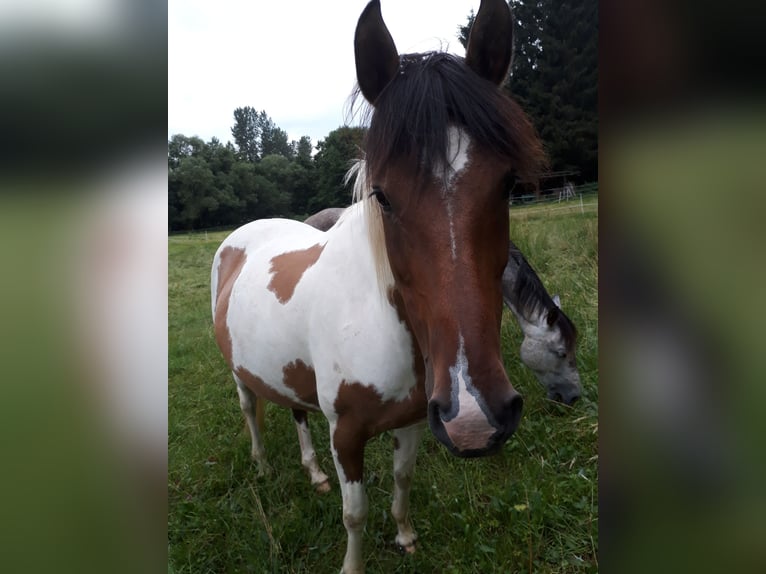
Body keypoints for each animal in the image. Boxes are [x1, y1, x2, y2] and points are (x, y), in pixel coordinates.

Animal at [210, 1, 544, 572]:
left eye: (508, 184)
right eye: (383, 196)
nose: (476, 416)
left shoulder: (415, 419)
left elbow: (402, 481)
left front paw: (405, 535)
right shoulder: (346, 434)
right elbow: (355, 514)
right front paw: (353, 564)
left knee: (295, 411)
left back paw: (312, 472)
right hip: (240, 374)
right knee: (250, 409)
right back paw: (262, 465)